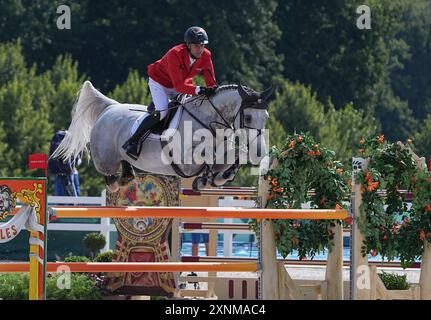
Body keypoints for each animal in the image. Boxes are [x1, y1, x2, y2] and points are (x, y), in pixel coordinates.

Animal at [52, 81, 272, 191]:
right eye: (248, 117)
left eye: (266, 117)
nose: (260, 152)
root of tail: (111, 107)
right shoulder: (186, 160)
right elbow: (209, 155)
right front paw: (206, 179)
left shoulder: (220, 156)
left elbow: (233, 156)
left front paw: (219, 178)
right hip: (105, 159)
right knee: (109, 176)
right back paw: (118, 179)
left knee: (124, 170)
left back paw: (128, 176)